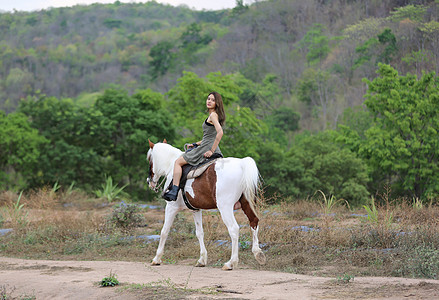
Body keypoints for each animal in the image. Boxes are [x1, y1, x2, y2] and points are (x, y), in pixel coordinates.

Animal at [146, 140, 266, 270]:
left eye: (149, 159)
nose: (149, 181)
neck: (172, 167)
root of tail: (241, 164)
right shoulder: (196, 210)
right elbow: (199, 233)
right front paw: (202, 260)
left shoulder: (171, 208)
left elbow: (164, 231)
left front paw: (157, 258)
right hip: (246, 204)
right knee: (254, 221)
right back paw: (258, 253)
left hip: (225, 208)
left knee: (234, 229)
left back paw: (231, 262)